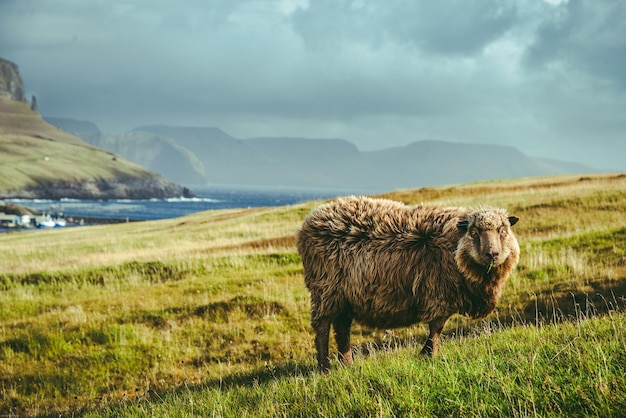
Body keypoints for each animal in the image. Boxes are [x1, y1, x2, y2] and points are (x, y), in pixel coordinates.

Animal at [294, 197, 520, 372]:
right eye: (473, 232)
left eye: (503, 230)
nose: (492, 254)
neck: (453, 246)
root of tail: (309, 223)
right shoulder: (439, 295)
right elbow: (436, 328)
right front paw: (429, 355)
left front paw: (426, 354)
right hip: (325, 290)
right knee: (322, 328)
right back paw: (324, 368)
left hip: (344, 296)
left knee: (342, 327)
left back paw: (347, 364)